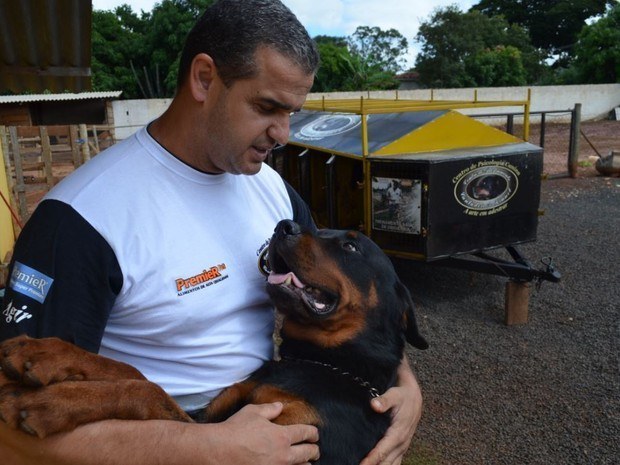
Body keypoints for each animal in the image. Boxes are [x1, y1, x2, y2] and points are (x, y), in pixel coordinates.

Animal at [0, 220, 426, 464]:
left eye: (351, 246)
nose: (283, 225)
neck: (324, 364)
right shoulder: (216, 423)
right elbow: (131, 372)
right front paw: (46, 353)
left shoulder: (293, 437)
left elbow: (148, 389)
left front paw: (48, 402)